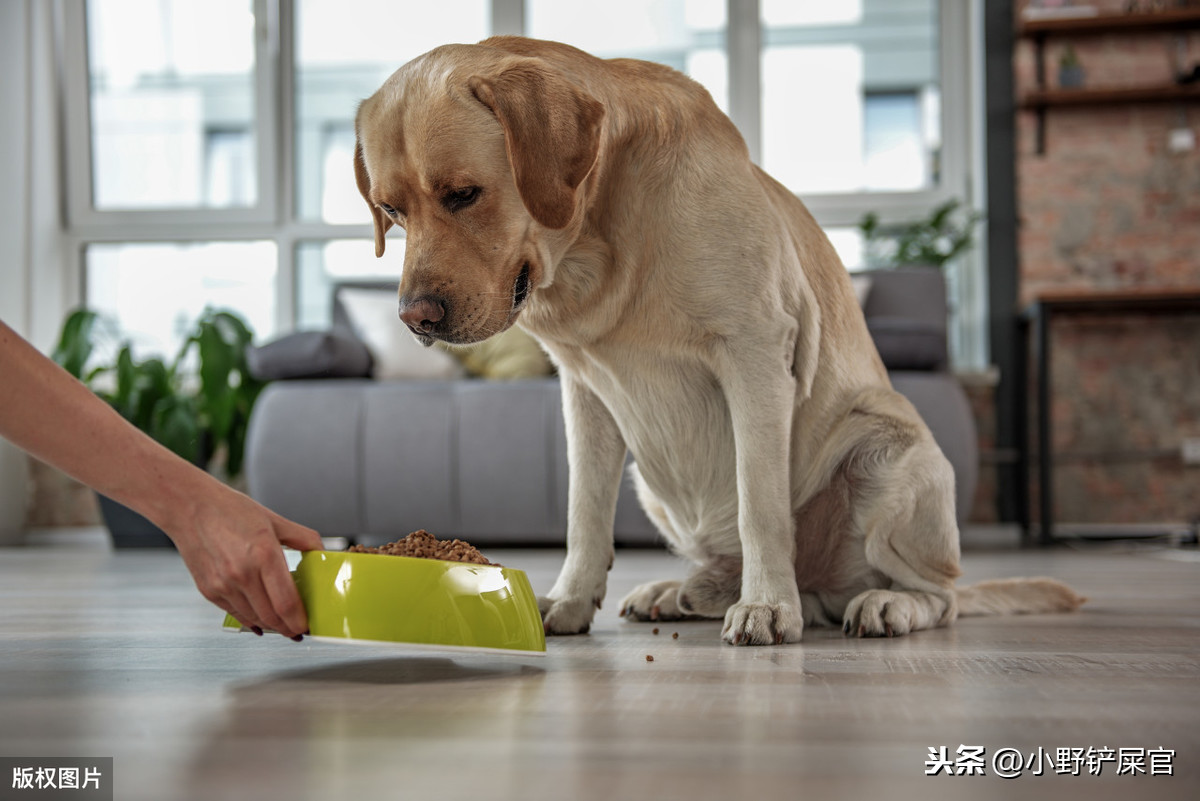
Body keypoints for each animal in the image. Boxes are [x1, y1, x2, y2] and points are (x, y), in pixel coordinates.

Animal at [350, 37, 1089, 642]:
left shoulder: (755, 357)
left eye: (464, 195)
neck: (600, 246)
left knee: (941, 594)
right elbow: (583, 513)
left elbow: (761, 503)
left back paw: (876, 603)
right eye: (391, 210)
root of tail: (825, 587)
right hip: (651, 479)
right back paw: (682, 591)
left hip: (888, 452)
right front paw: (568, 599)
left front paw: (767, 608)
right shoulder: (584, 393)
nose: (415, 317)